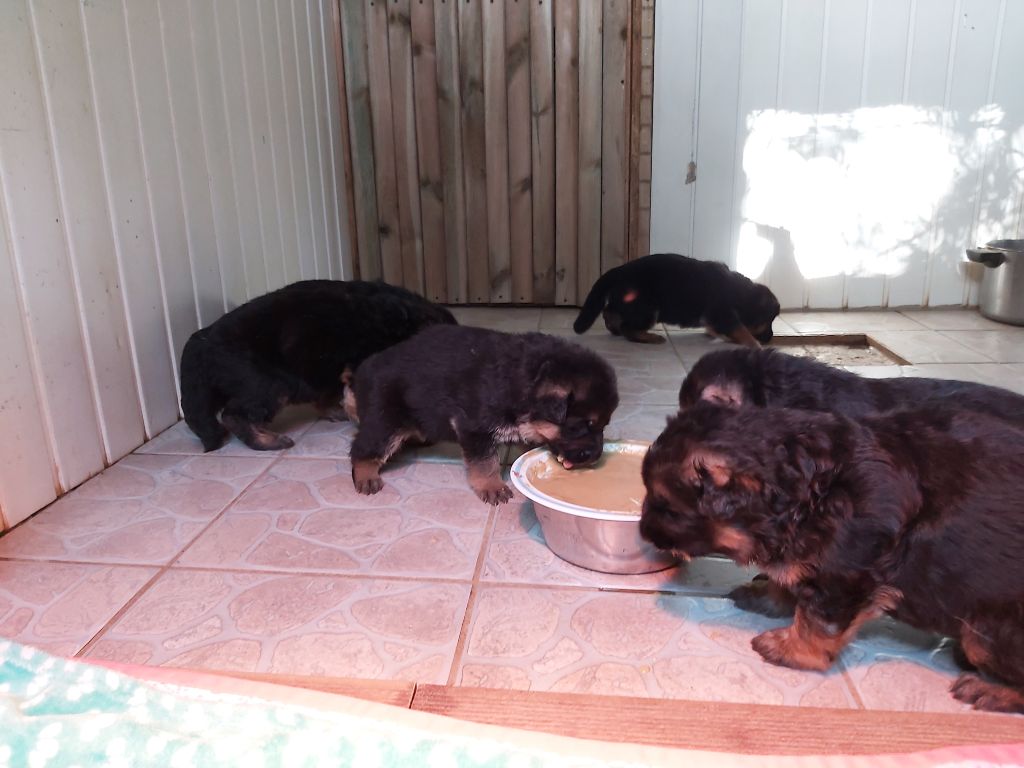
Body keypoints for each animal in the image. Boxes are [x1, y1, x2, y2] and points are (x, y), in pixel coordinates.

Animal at [573, 253, 778, 348]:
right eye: (767, 322)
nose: (770, 338)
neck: (741, 293)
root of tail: (618, 271)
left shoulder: (715, 318)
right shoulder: (723, 314)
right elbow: (741, 329)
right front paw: (755, 345)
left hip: (628, 303)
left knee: (610, 311)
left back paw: (613, 325)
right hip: (648, 308)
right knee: (628, 328)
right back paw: (651, 337)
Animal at [638, 403, 1024, 716]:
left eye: (666, 506)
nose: (642, 532)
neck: (812, 490)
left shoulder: (846, 571)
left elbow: (818, 620)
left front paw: (790, 649)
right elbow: (790, 579)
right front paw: (768, 594)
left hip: (986, 632)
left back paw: (991, 689)